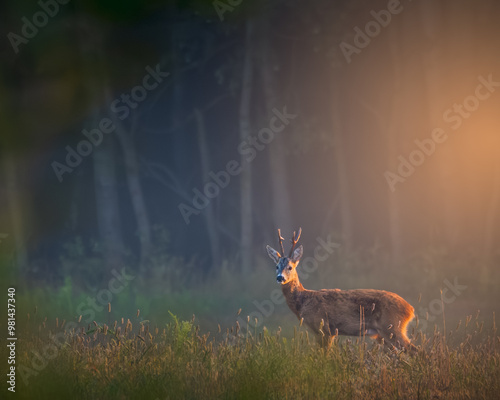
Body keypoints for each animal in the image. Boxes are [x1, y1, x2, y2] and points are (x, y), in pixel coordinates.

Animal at [268, 228, 416, 350]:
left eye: (290, 267)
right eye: (276, 266)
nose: (280, 277)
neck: (303, 302)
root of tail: (410, 309)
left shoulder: (325, 328)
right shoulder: (321, 332)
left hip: (392, 327)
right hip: (382, 334)